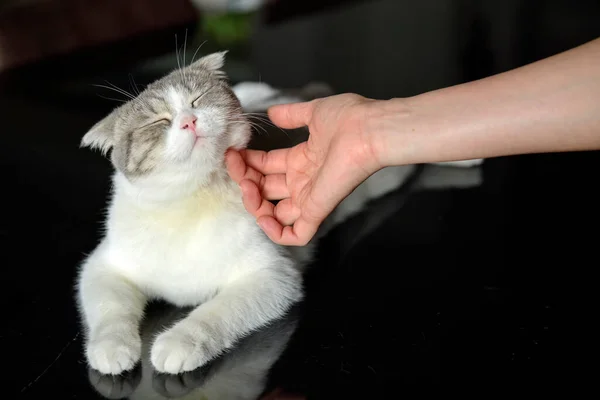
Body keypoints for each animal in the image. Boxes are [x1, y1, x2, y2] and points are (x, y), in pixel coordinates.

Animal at [76, 51, 412, 376]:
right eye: (157, 121)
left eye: (198, 98)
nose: (189, 121)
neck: (194, 201)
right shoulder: (103, 265)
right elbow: (110, 309)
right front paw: (111, 346)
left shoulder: (272, 276)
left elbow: (215, 312)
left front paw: (182, 341)